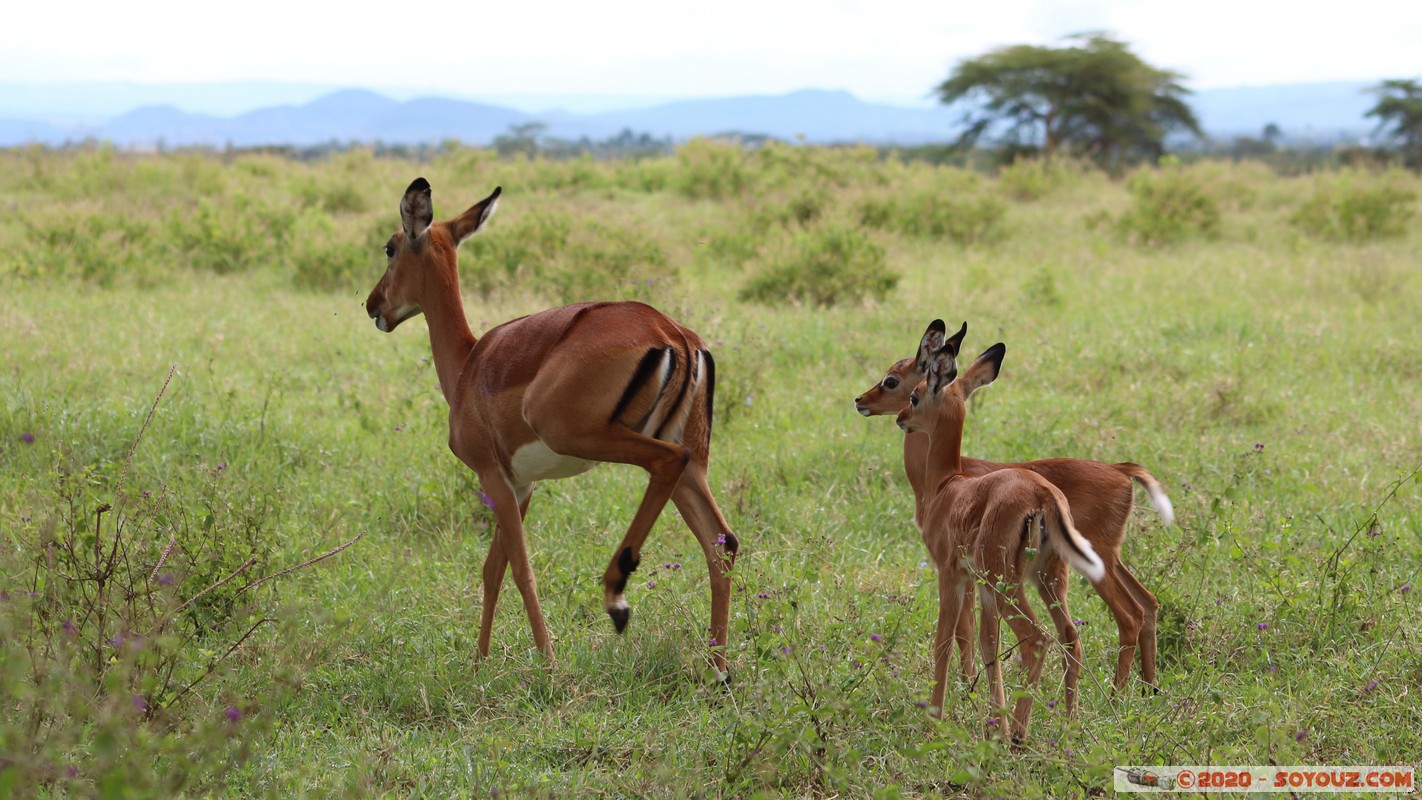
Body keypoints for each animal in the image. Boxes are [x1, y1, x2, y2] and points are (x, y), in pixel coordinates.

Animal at [365, 178, 739, 676]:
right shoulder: (520, 485)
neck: (468, 365)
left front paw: (549, 665)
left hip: (599, 438)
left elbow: (521, 569)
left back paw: (617, 598)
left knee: (668, 465)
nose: (373, 304)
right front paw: (480, 663)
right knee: (722, 544)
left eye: (390, 247)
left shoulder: (493, 477)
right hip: (692, 465)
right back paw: (717, 668)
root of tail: (672, 334)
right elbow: (493, 568)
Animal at [855, 346, 1172, 699]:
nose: (861, 400)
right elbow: (983, 638)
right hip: (1089, 565)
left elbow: (957, 635)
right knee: (1142, 606)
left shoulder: (953, 571)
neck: (944, 482)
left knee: (1123, 618)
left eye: (894, 382)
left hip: (1073, 568)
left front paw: (966, 692)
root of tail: (1121, 470)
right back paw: (1147, 689)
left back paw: (1115, 696)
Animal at [896, 320, 1105, 743]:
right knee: (1069, 637)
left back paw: (1019, 737)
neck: (947, 486)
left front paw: (936, 717)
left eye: (914, 395)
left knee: (1036, 639)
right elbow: (987, 645)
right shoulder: (979, 586)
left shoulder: (952, 574)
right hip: (1046, 579)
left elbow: (945, 641)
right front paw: (992, 721)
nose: (900, 419)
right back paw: (1066, 726)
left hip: (1006, 581)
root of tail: (1043, 495)